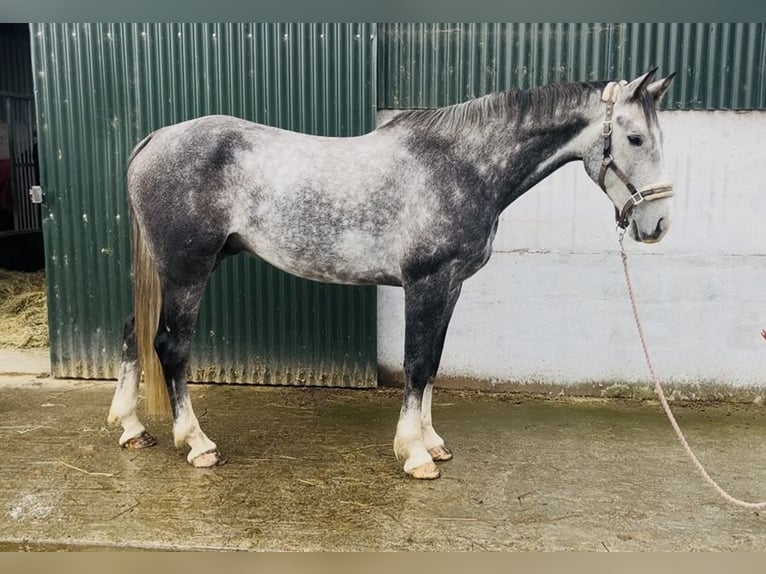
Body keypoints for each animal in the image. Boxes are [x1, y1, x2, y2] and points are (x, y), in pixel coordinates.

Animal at [108, 67, 676, 479]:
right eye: (634, 138)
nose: (657, 225)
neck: (462, 165)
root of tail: (156, 138)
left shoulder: (450, 286)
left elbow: (433, 364)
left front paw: (432, 442)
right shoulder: (427, 283)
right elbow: (416, 364)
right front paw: (415, 454)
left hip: (167, 272)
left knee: (134, 332)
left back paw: (131, 427)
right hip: (187, 270)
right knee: (170, 347)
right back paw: (197, 444)